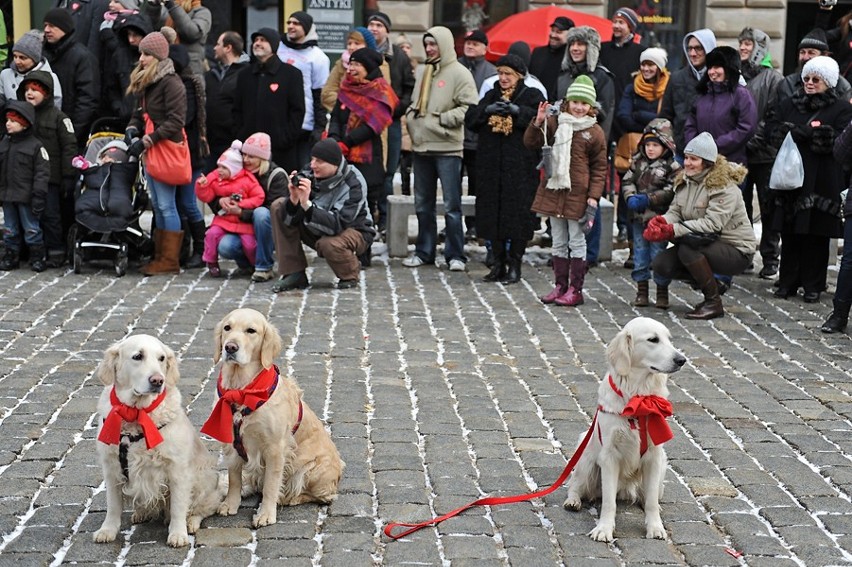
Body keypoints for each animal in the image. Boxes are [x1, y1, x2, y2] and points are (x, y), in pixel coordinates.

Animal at [92, 336, 223, 548]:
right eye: (138, 356)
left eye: (161, 358)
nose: (157, 380)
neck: (136, 414)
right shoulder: (111, 469)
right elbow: (113, 505)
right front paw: (107, 530)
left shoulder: (178, 470)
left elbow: (178, 507)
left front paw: (178, 534)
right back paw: (141, 513)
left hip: (205, 478)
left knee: (203, 508)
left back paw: (191, 522)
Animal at [201, 308, 344, 532]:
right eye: (227, 328)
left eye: (251, 331)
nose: (230, 347)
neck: (242, 389)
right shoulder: (233, 445)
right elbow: (234, 479)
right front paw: (231, 504)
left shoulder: (275, 447)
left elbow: (270, 485)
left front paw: (266, 514)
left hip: (314, 470)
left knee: (322, 497)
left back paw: (289, 498)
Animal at [564, 318, 684, 544]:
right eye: (653, 339)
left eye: (669, 339)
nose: (682, 360)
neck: (638, 397)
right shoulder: (609, 456)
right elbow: (609, 502)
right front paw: (603, 529)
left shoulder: (654, 457)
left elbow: (651, 502)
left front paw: (655, 527)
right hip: (586, 457)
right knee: (575, 484)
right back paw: (572, 501)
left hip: (662, 470)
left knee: (650, 496)